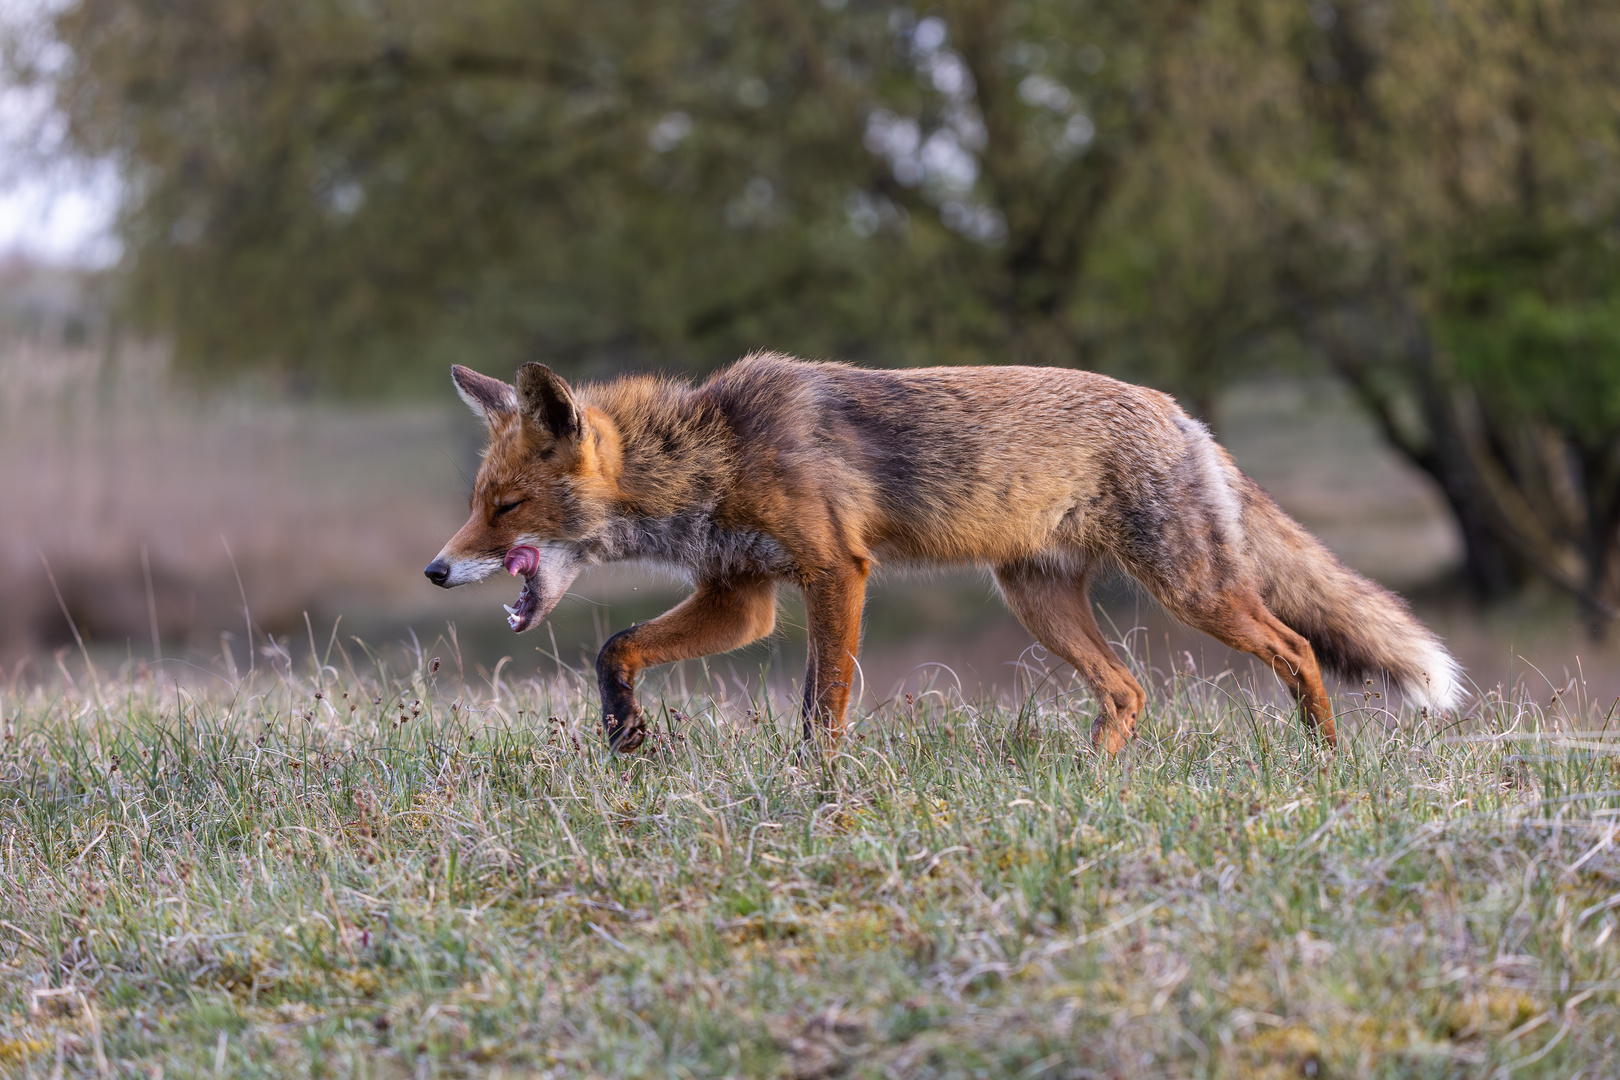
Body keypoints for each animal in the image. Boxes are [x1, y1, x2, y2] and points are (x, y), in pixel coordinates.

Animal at [424, 352, 1464, 751]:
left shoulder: (833, 572)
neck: (714, 453)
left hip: (1190, 590)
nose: (435, 570)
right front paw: (625, 733)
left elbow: (824, 704)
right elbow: (616, 648)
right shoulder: (742, 595)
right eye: (476, 506)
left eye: (507, 508)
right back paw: (1088, 780)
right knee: (1129, 690)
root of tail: (1180, 412)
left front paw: (817, 785)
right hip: (1037, 600)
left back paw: (1323, 758)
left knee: (1296, 647)